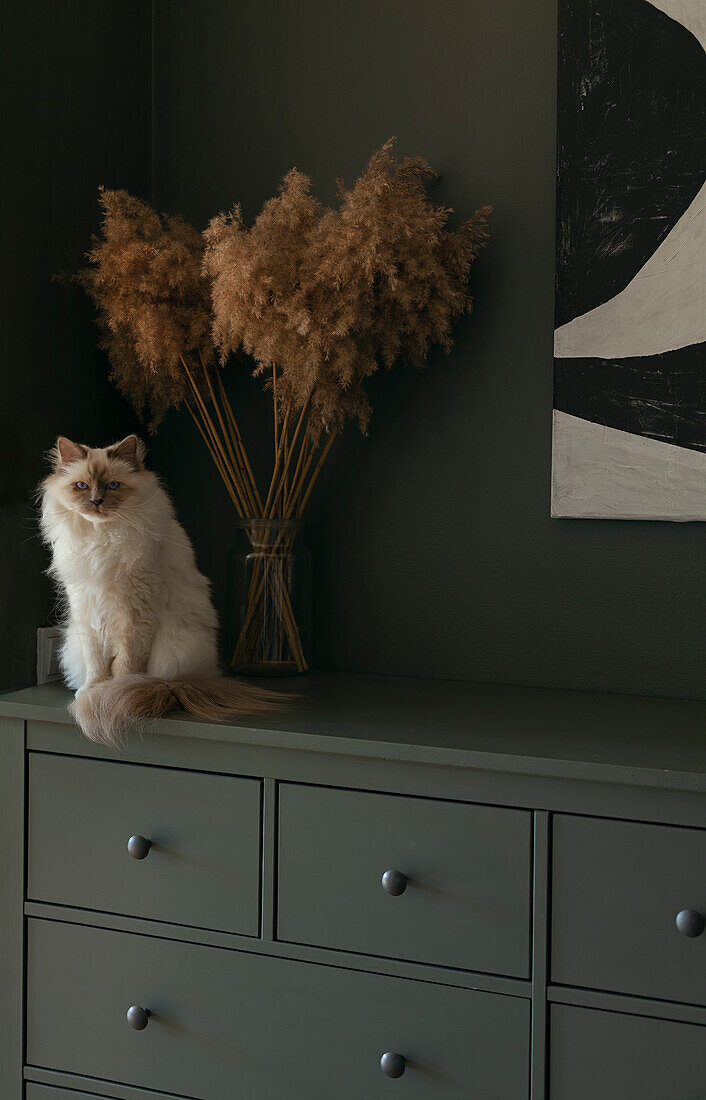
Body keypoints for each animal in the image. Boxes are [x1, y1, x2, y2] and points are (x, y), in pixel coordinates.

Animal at [39, 433, 277, 743]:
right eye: (81, 486)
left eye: (113, 486)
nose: (96, 501)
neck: (103, 537)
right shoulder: (88, 611)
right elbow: (97, 664)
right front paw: (92, 691)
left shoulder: (135, 615)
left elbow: (125, 666)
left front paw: (112, 693)